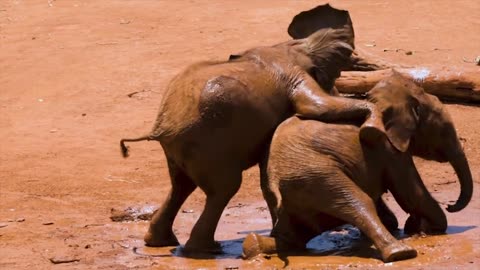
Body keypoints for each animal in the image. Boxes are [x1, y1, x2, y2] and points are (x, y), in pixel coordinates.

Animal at [246, 73, 474, 262]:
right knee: (359, 202)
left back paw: (253, 245)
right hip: (317, 175)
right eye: (443, 129)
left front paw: (414, 225)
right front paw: (426, 227)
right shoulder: (388, 147)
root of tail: (276, 179)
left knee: (296, 234)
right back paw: (400, 253)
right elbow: (410, 193)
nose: (450, 205)